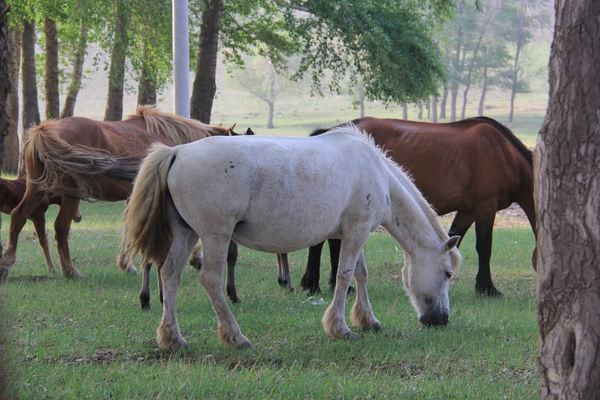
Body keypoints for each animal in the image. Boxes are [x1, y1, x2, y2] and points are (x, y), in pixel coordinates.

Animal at [0, 104, 239, 282]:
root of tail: (46, 130)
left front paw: (127, 264)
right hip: (70, 196)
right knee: (61, 228)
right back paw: (70, 271)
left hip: (38, 190)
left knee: (19, 216)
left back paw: (7, 264)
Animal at [120, 125, 460, 346]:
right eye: (447, 273)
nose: (441, 319)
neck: (376, 171)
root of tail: (177, 152)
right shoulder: (356, 232)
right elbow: (344, 276)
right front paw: (339, 327)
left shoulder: (355, 232)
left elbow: (360, 274)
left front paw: (368, 320)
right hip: (215, 236)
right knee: (211, 280)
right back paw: (235, 336)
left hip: (186, 233)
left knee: (170, 274)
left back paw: (172, 336)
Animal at [298, 116, 536, 296]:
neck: (502, 153)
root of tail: (334, 130)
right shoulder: (485, 206)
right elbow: (484, 247)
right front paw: (487, 288)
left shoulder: (467, 210)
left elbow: (453, 240)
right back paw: (319, 285)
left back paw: (322, 284)